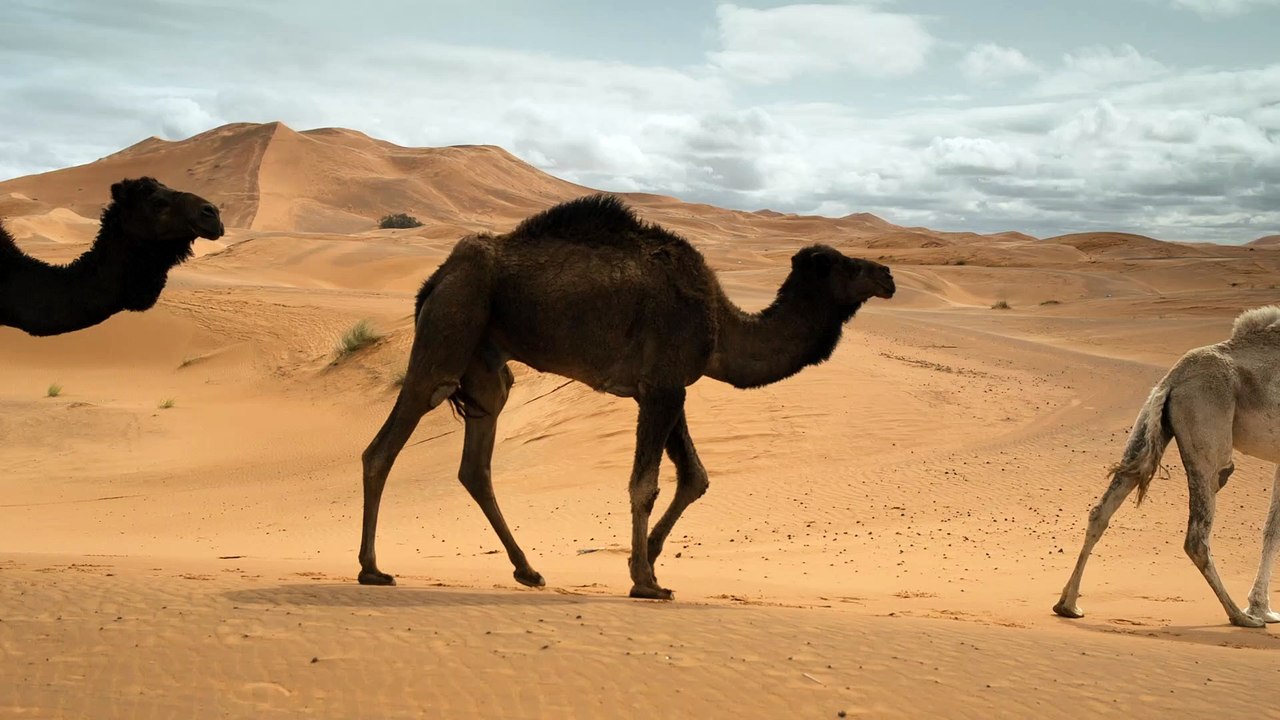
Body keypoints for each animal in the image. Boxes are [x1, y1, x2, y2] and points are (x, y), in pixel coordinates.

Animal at [359, 194, 896, 599]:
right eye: (848, 265)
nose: (888, 275)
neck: (723, 328)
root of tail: (437, 277)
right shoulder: (662, 386)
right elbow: (646, 484)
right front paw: (645, 581)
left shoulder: (667, 388)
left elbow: (695, 477)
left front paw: (652, 560)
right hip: (451, 329)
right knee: (385, 444)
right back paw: (372, 569)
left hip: (487, 368)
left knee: (475, 466)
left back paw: (528, 570)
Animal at [1055, 305, 1280, 627]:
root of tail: (1173, 378)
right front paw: (1259, 611)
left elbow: (1271, 527)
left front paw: (1262, 607)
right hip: (1209, 441)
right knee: (1197, 535)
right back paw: (1239, 616)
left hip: (1147, 424)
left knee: (1101, 510)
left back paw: (1068, 605)